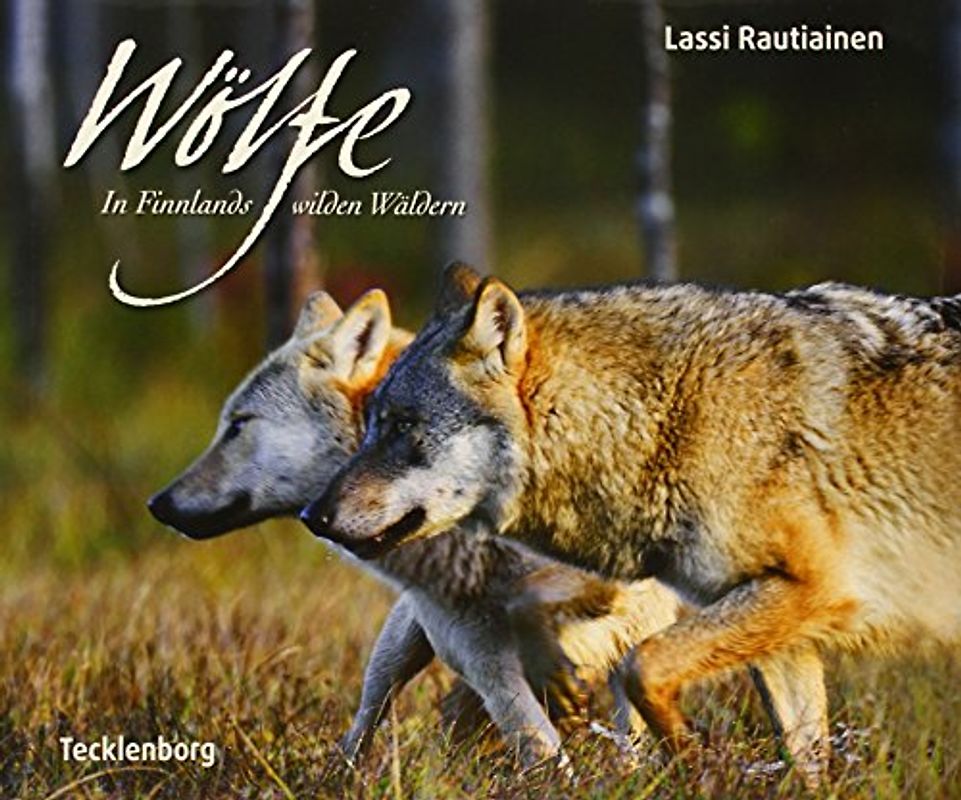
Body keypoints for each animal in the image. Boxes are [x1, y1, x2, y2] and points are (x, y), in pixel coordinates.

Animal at [147, 288, 683, 766]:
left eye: (239, 423)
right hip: (401, 649)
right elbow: (531, 731)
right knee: (370, 713)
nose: (157, 502)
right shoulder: (471, 642)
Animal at [305, 264, 961, 771]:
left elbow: (639, 668)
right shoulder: (780, 629)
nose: (314, 516)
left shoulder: (812, 591)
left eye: (402, 426)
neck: (669, 416)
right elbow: (802, 757)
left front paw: (696, 762)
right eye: (372, 423)